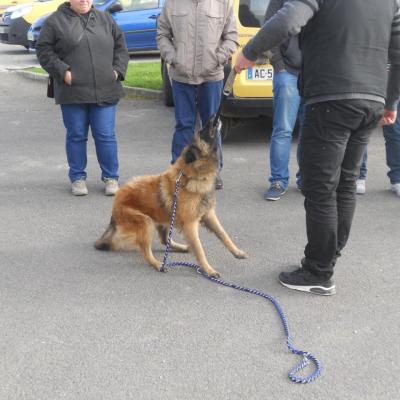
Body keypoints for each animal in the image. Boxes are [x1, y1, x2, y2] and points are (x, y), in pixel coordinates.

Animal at [96, 117, 247, 276]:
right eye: (202, 132)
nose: (214, 117)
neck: (191, 176)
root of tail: (116, 201)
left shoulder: (209, 215)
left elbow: (224, 235)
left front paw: (237, 252)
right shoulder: (190, 225)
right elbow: (199, 248)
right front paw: (208, 269)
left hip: (166, 218)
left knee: (165, 241)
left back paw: (183, 248)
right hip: (146, 222)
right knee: (146, 251)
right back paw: (158, 264)